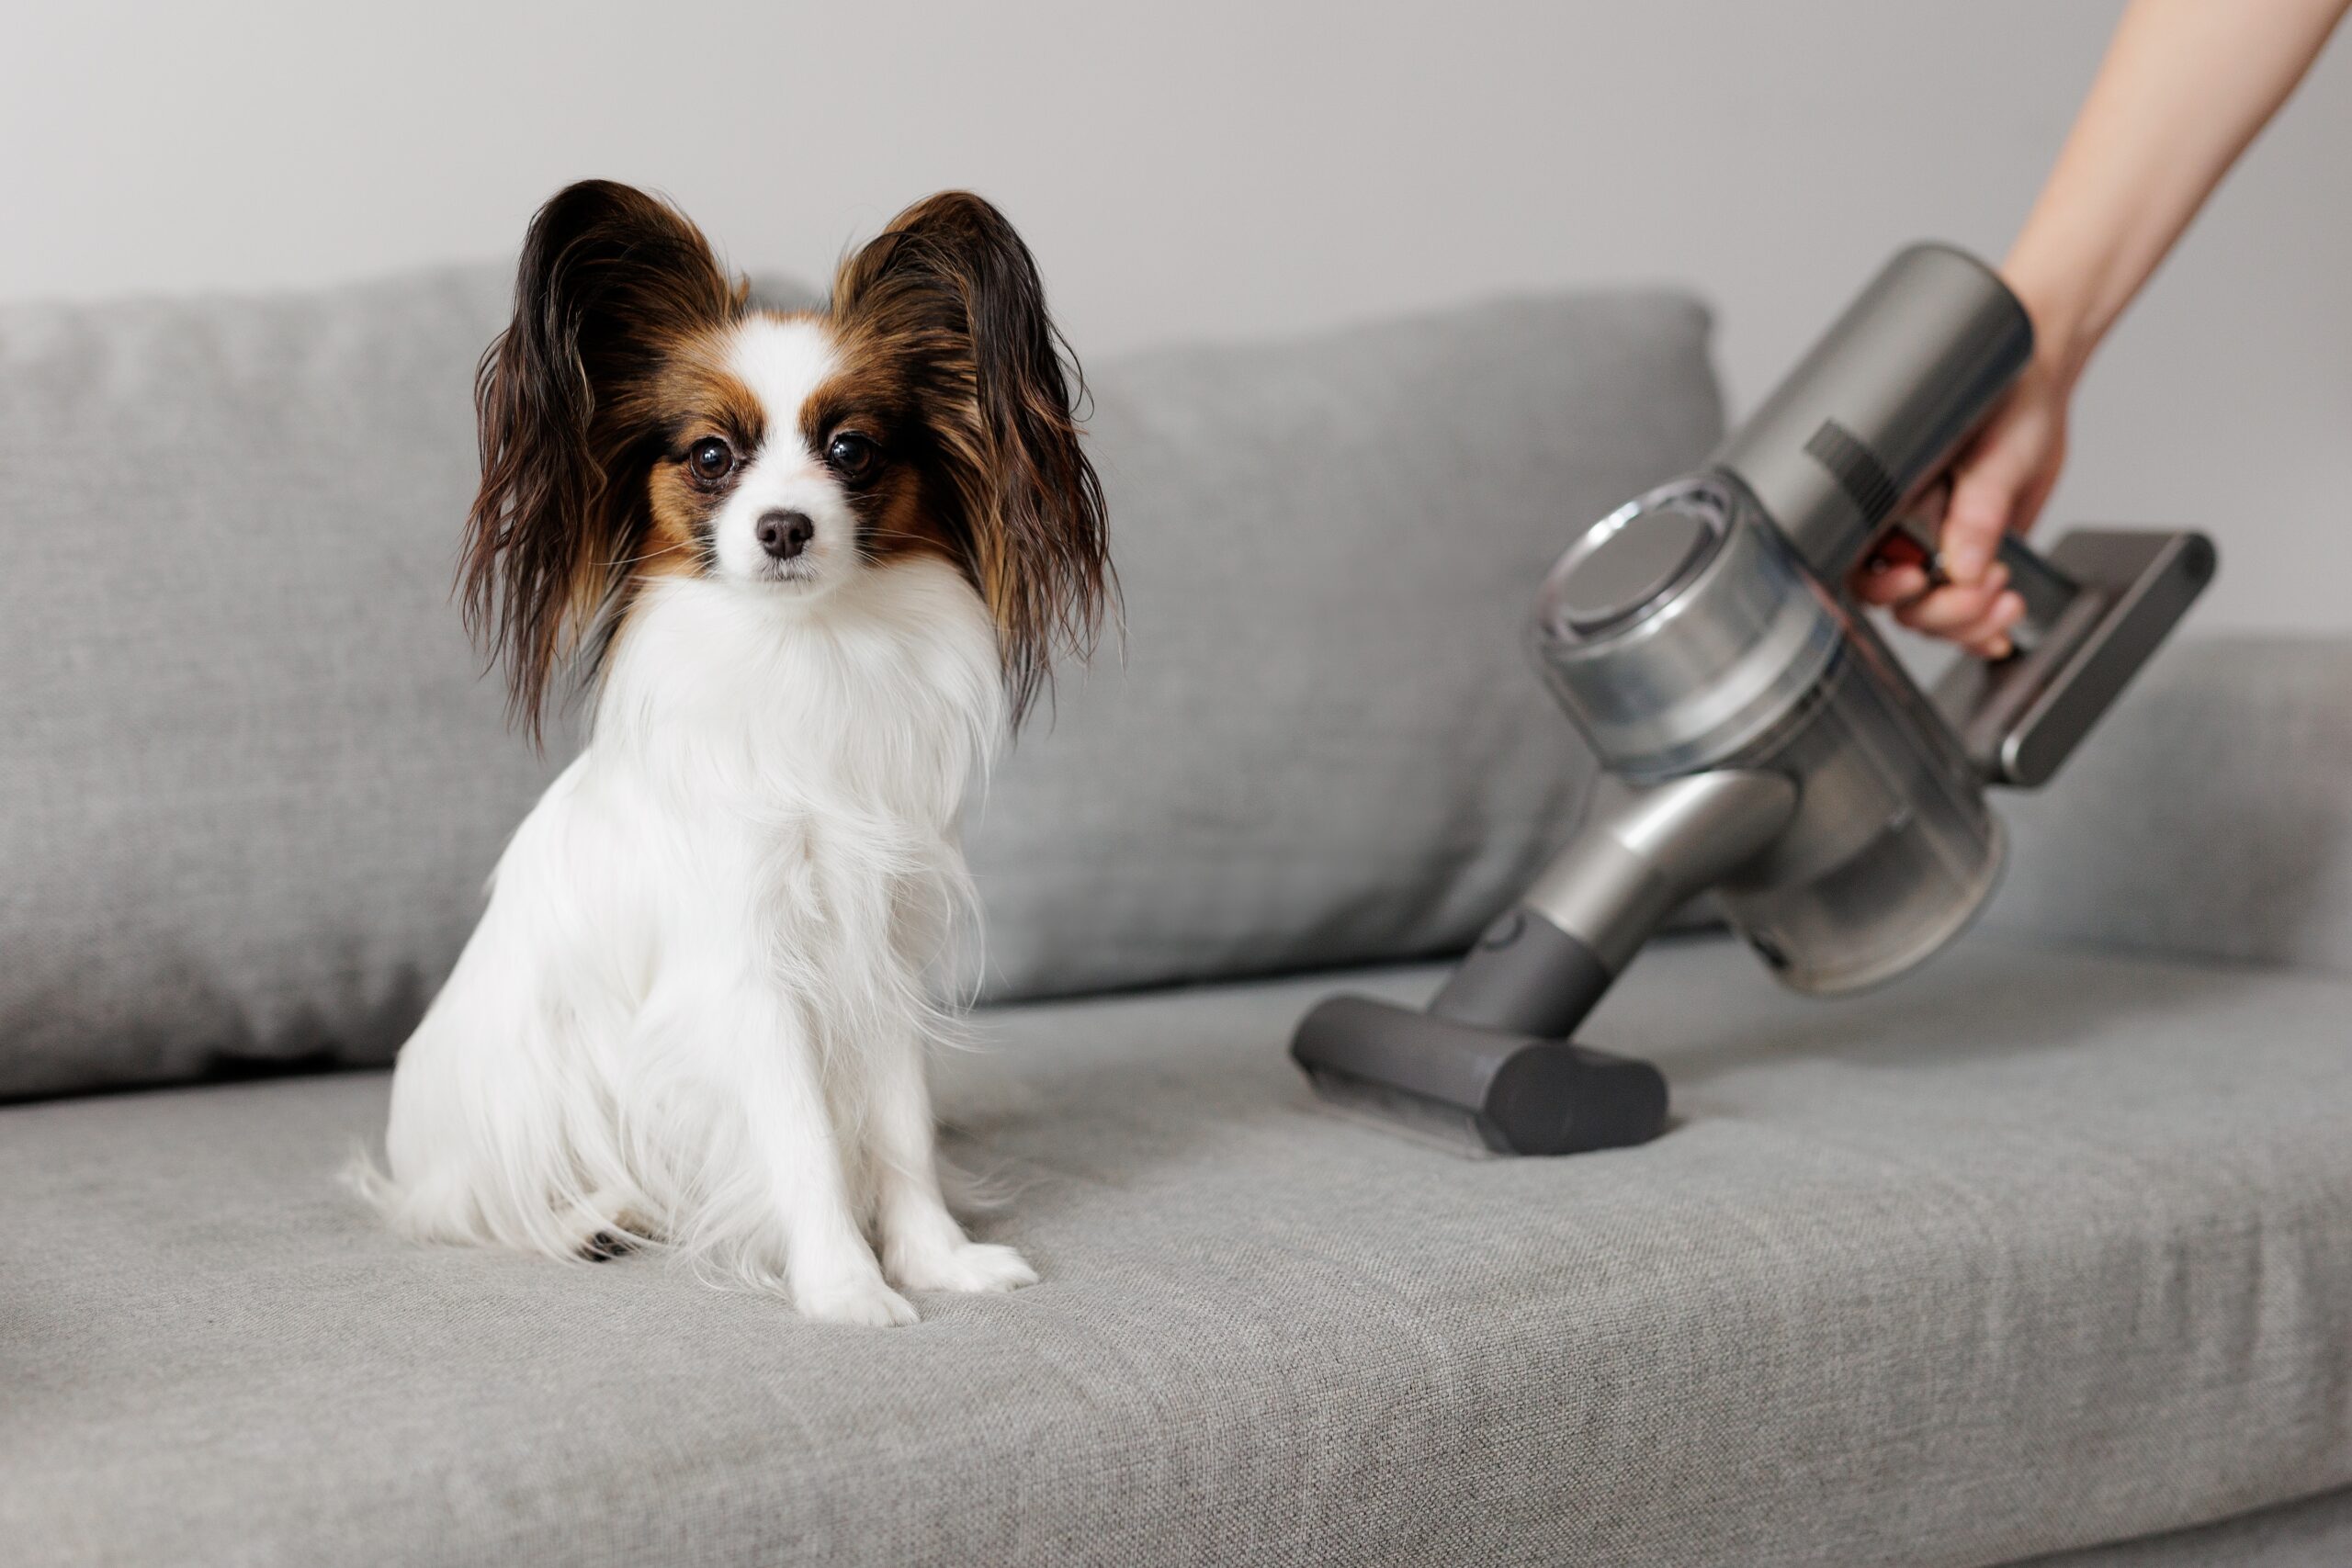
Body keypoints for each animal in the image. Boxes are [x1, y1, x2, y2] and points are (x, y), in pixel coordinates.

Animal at [357, 181, 1110, 1325]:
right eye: (712, 456)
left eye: (851, 450)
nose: (784, 527)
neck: (806, 654)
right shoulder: (748, 975)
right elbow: (804, 1143)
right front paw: (845, 1287)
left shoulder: (874, 952)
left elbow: (900, 1132)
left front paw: (935, 1259)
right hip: (513, 1101)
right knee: (464, 1202)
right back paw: (585, 1220)